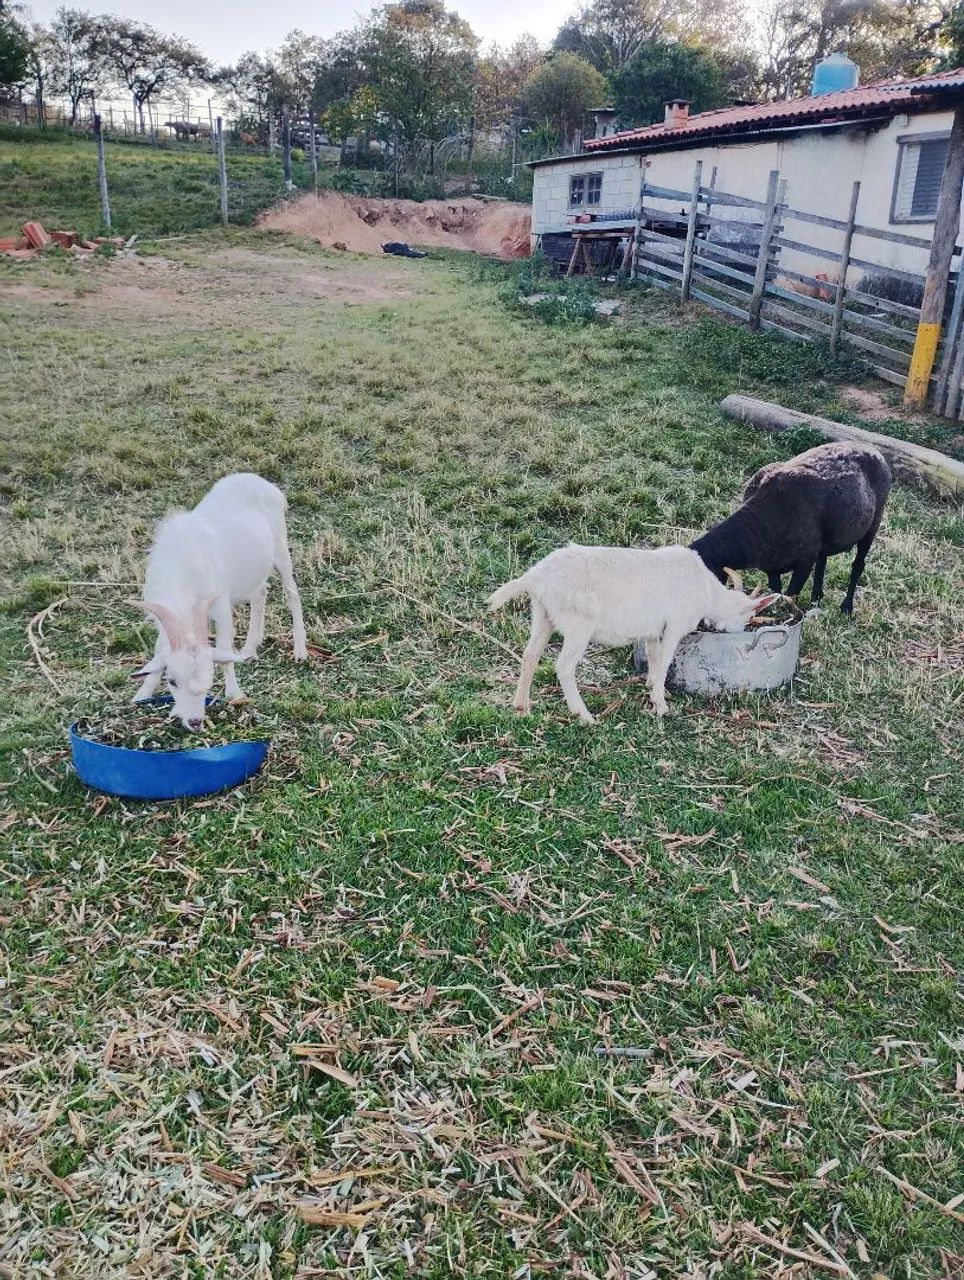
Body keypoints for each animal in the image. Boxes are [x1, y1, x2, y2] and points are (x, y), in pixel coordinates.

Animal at [133, 473, 308, 729]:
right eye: (172, 681)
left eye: (209, 676)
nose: (195, 721)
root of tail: (260, 481)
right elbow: (158, 651)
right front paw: (142, 695)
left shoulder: (221, 607)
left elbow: (224, 652)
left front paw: (235, 694)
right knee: (261, 593)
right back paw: (249, 649)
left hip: (280, 547)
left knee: (292, 593)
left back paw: (300, 649)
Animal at [488, 543, 775, 723]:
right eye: (747, 617)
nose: (740, 630)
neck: (706, 591)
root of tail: (536, 576)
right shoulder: (674, 626)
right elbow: (665, 660)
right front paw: (661, 706)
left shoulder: (653, 631)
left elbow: (654, 657)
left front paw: (652, 687)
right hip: (578, 624)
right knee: (564, 666)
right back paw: (584, 716)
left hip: (543, 614)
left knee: (530, 655)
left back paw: (521, 706)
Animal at [691, 442, 892, 615]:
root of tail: (873, 449)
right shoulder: (771, 566)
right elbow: (777, 592)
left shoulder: (804, 561)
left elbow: (790, 595)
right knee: (823, 560)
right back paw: (816, 598)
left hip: (874, 521)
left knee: (858, 565)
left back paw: (846, 608)